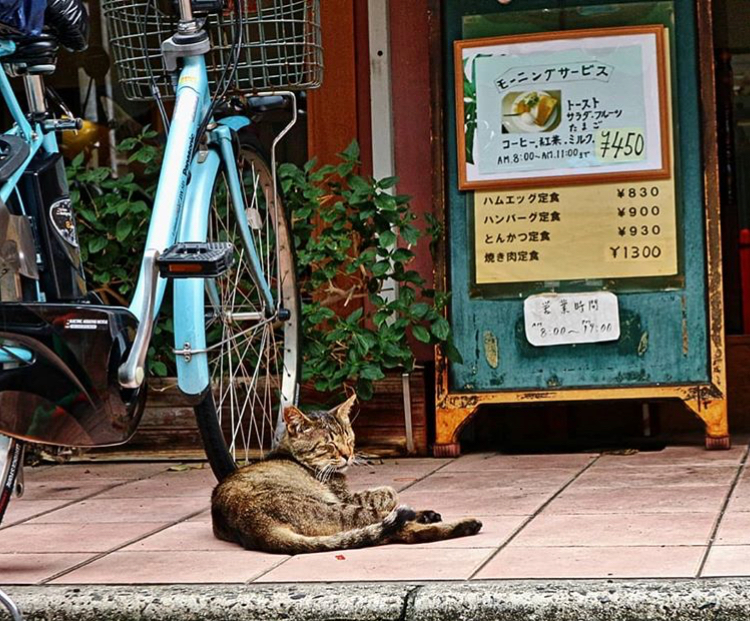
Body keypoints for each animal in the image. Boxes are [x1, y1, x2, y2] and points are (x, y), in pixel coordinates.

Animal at [212, 392, 484, 552]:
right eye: (329, 445)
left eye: (348, 438)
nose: (348, 455)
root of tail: (255, 527)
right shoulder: (345, 496)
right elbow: (388, 492)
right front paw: (391, 495)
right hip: (339, 510)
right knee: (398, 528)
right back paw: (465, 525)